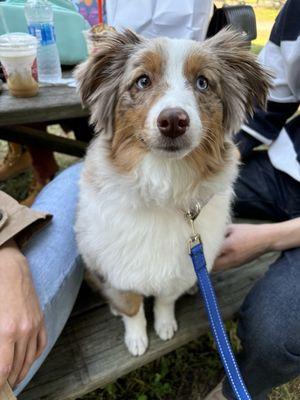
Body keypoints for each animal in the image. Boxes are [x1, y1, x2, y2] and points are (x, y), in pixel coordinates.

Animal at [74, 29, 270, 358]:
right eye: (142, 81)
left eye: (203, 82)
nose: (174, 121)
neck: (165, 184)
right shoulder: (116, 266)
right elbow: (132, 306)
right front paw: (137, 338)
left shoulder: (179, 269)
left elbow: (165, 299)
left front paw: (165, 325)